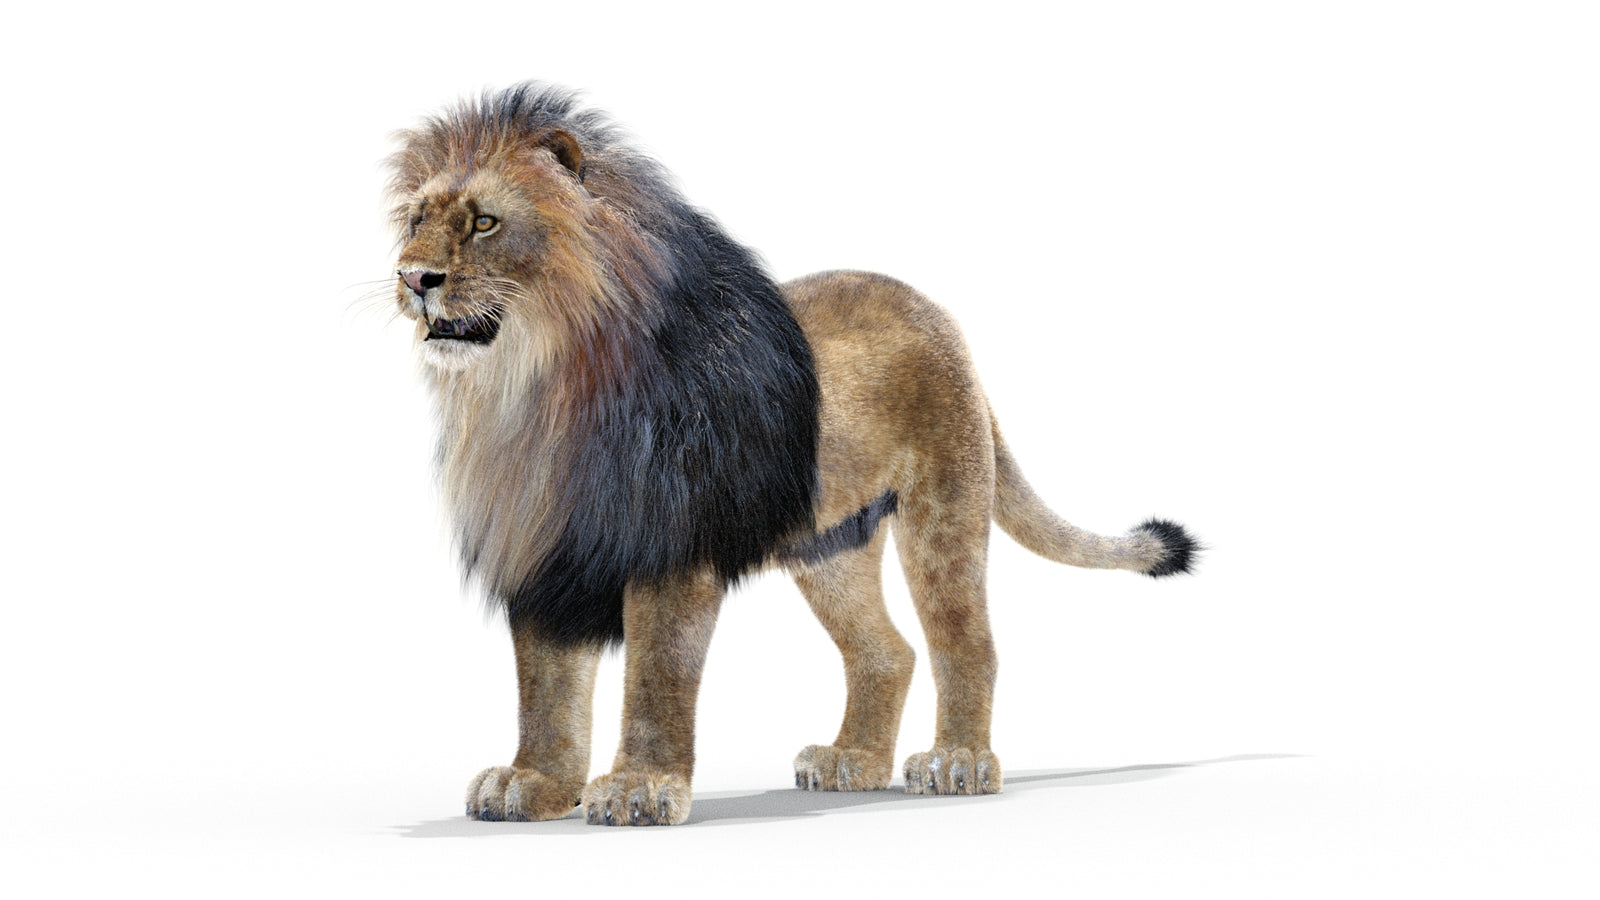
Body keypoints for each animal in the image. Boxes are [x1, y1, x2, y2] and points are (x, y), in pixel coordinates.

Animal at [384, 84, 1198, 826]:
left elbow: (655, 677)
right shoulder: (540, 546)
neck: (533, 388)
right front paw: (534, 785)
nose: (413, 278)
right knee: (887, 651)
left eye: (484, 222)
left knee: (967, 640)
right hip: (828, 543)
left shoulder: (671, 546)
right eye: (416, 220)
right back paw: (852, 763)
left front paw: (640, 788)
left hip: (943, 510)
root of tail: (939, 318)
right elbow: (546, 687)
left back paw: (958, 762)